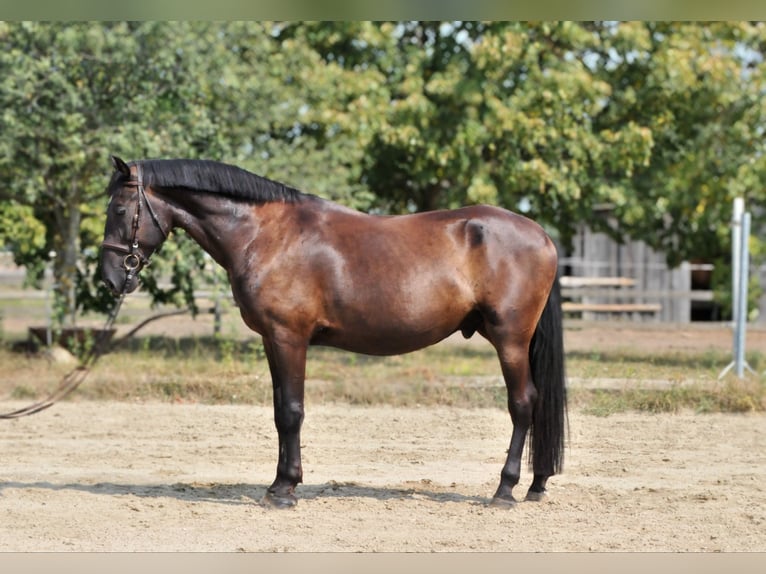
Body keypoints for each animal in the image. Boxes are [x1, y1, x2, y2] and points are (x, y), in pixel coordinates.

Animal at [99, 156, 568, 508]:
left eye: (118, 210)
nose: (110, 278)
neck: (266, 234)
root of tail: (542, 235)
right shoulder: (272, 340)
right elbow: (280, 410)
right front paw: (283, 483)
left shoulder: (289, 337)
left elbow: (291, 411)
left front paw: (283, 491)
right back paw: (537, 484)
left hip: (510, 340)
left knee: (523, 404)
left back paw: (505, 489)